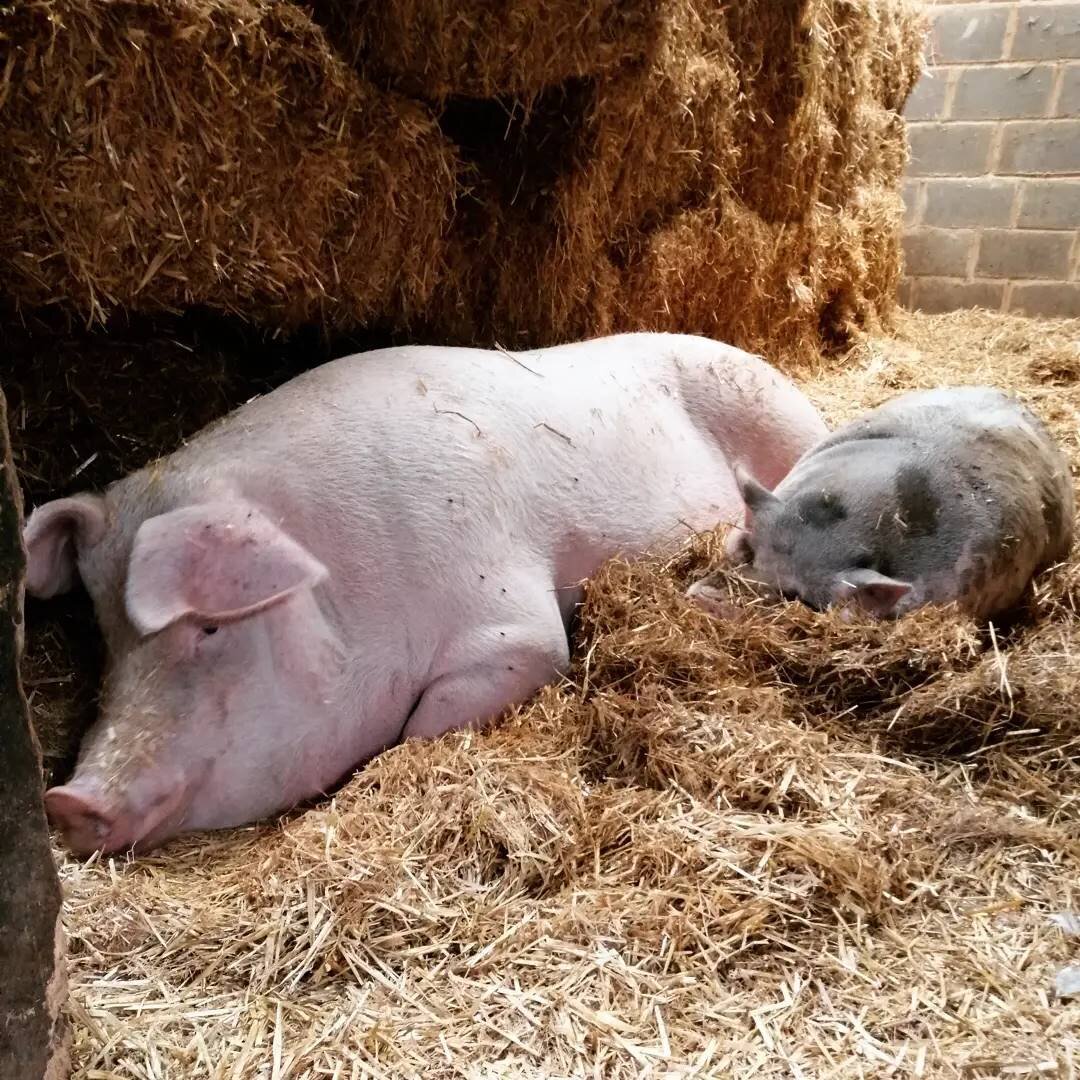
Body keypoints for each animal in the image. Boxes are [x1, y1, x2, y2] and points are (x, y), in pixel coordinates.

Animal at [23, 332, 825, 855]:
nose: (67, 803)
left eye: (210, 628)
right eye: (103, 636)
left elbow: (425, 727)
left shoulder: (512, 625)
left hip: (783, 423)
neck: (345, 575)